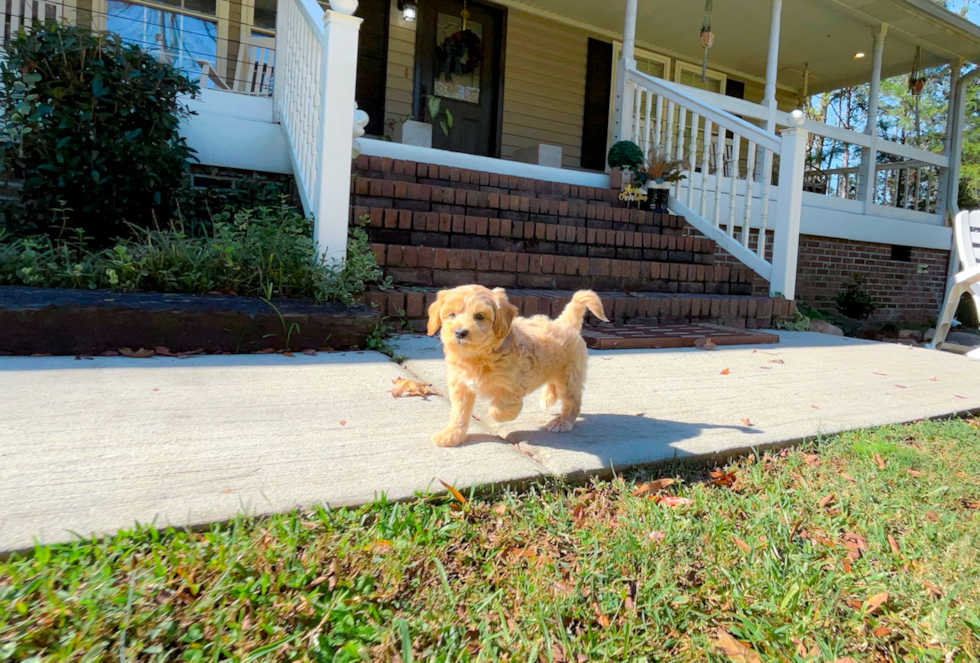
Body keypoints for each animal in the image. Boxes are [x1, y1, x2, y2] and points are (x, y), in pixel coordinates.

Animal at [426, 282, 608, 448]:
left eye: (480, 316)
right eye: (451, 314)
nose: (460, 332)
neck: (478, 357)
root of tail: (565, 323)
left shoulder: (514, 384)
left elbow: (499, 407)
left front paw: (499, 414)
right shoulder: (460, 386)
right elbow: (459, 413)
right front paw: (452, 435)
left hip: (569, 376)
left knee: (572, 402)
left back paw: (562, 422)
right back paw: (547, 397)